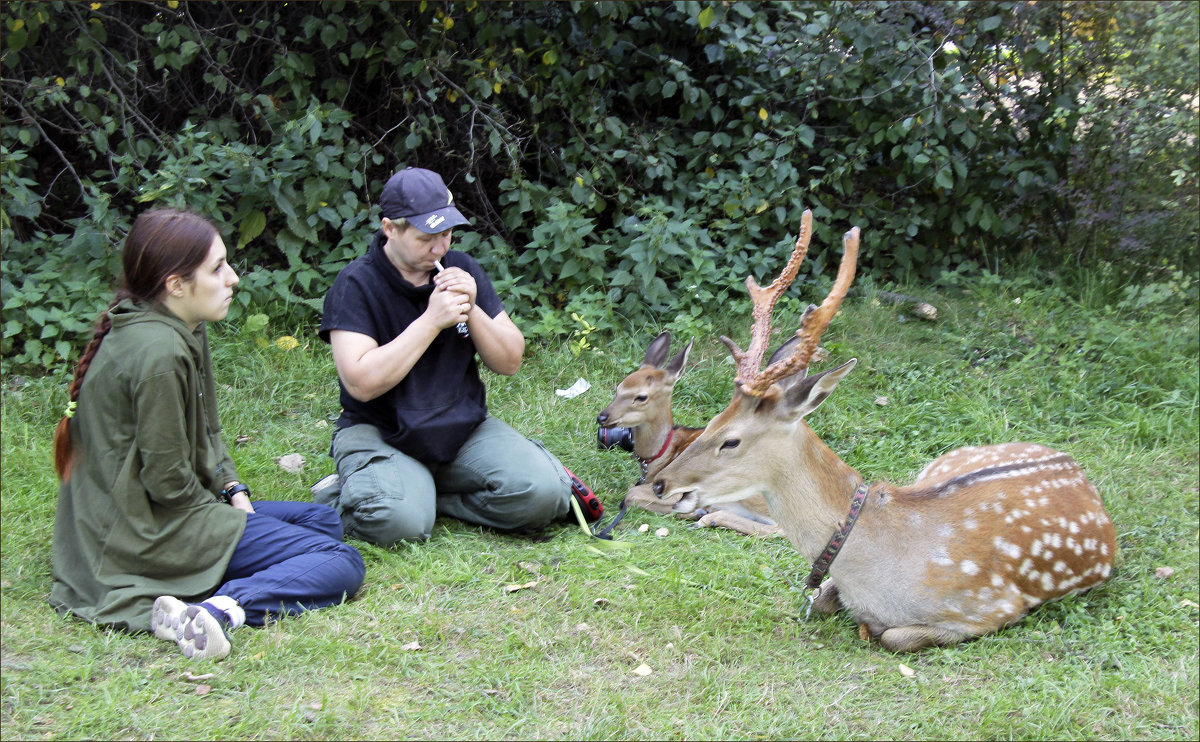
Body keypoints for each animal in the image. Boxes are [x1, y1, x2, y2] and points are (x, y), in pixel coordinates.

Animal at [652, 211, 1118, 648]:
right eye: (712, 420)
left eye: (731, 440)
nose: (659, 484)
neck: (876, 573)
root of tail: (1074, 465)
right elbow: (824, 599)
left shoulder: (993, 606)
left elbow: (895, 636)